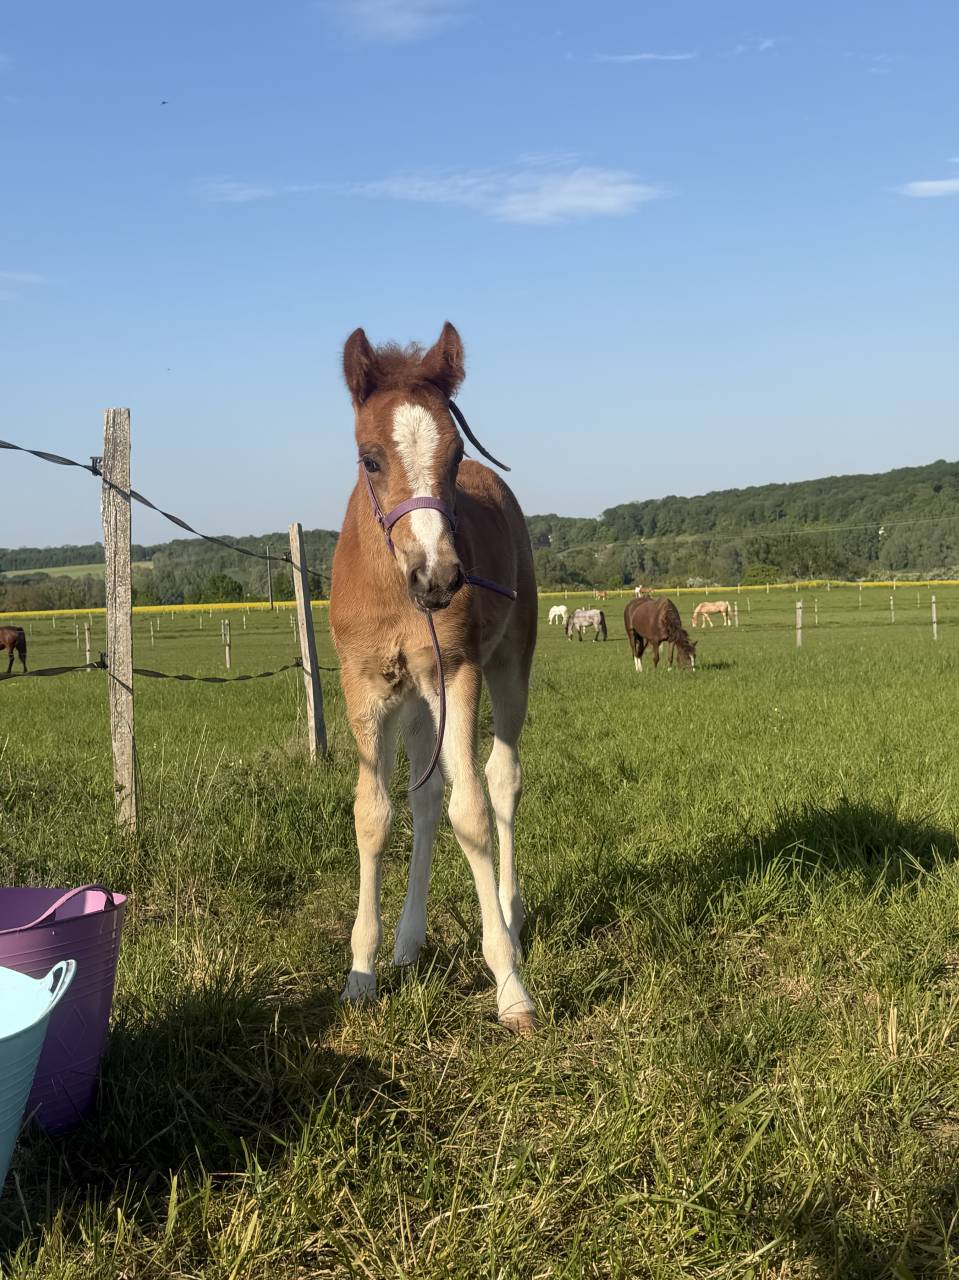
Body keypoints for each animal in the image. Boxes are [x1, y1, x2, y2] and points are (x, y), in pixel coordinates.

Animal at [329, 322, 537, 1034]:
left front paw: (510, 985)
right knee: (422, 804)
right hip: (420, 705)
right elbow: (373, 815)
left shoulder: (460, 671)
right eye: (368, 459)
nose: (439, 578)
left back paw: (512, 917)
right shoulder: (366, 689)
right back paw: (407, 941)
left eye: (452, 457)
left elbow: (470, 811)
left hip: (507, 668)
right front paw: (360, 973)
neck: (396, 590)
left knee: (502, 782)